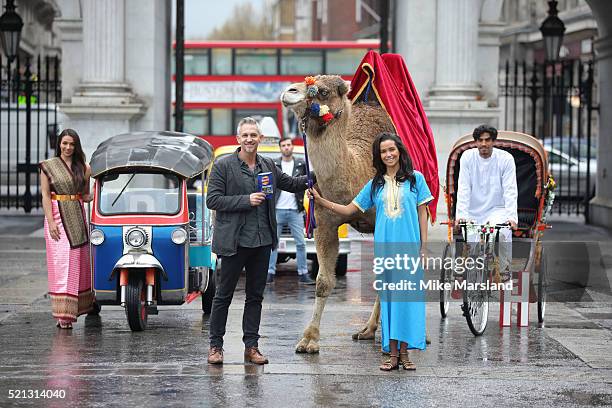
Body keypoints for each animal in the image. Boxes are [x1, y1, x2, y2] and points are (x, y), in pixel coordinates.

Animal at [280, 75, 394, 354]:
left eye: (322, 91)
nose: (288, 91)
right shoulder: (325, 223)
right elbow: (323, 282)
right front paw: (308, 339)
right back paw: (367, 330)